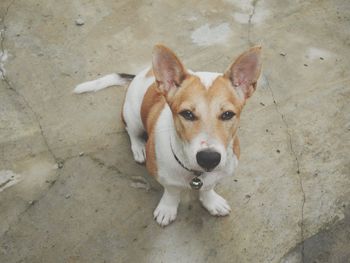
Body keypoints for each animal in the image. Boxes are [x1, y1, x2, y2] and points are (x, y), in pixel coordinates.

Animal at [74, 44, 262, 227]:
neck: (195, 173)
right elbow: (171, 191)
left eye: (228, 114)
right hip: (132, 116)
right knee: (131, 132)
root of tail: (143, 73)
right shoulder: (163, 175)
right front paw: (167, 208)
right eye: (187, 114)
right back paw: (139, 147)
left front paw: (211, 201)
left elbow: (208, 188)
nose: (209, 159)